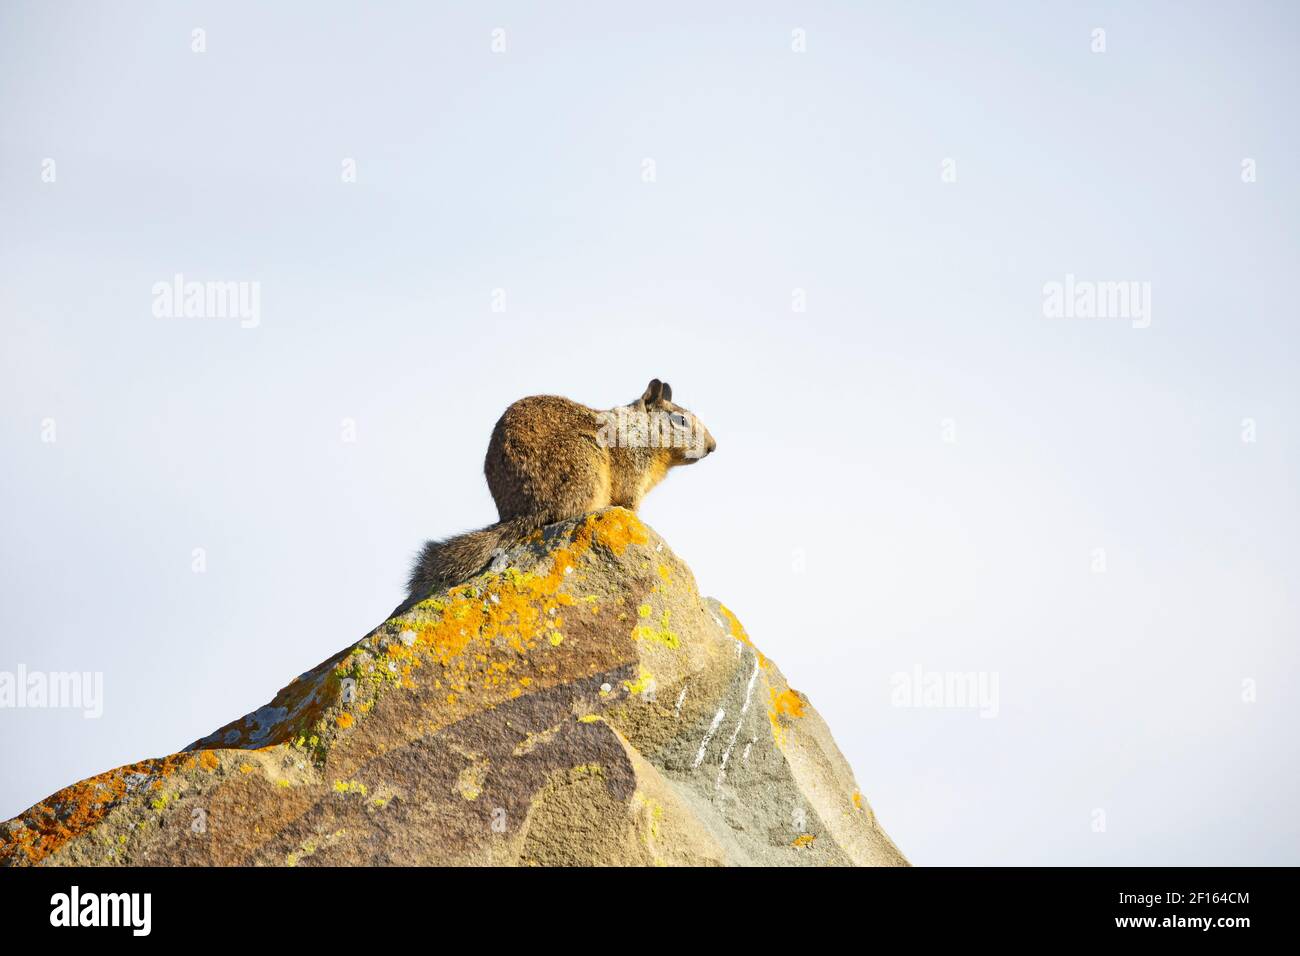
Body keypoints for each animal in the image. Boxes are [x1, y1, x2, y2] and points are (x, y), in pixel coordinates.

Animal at [401, 378, 716, 610]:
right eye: (680, 420)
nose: (714, 446)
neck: (638, 430)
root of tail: (529, 509)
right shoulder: (632, 474)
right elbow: (629, 502)